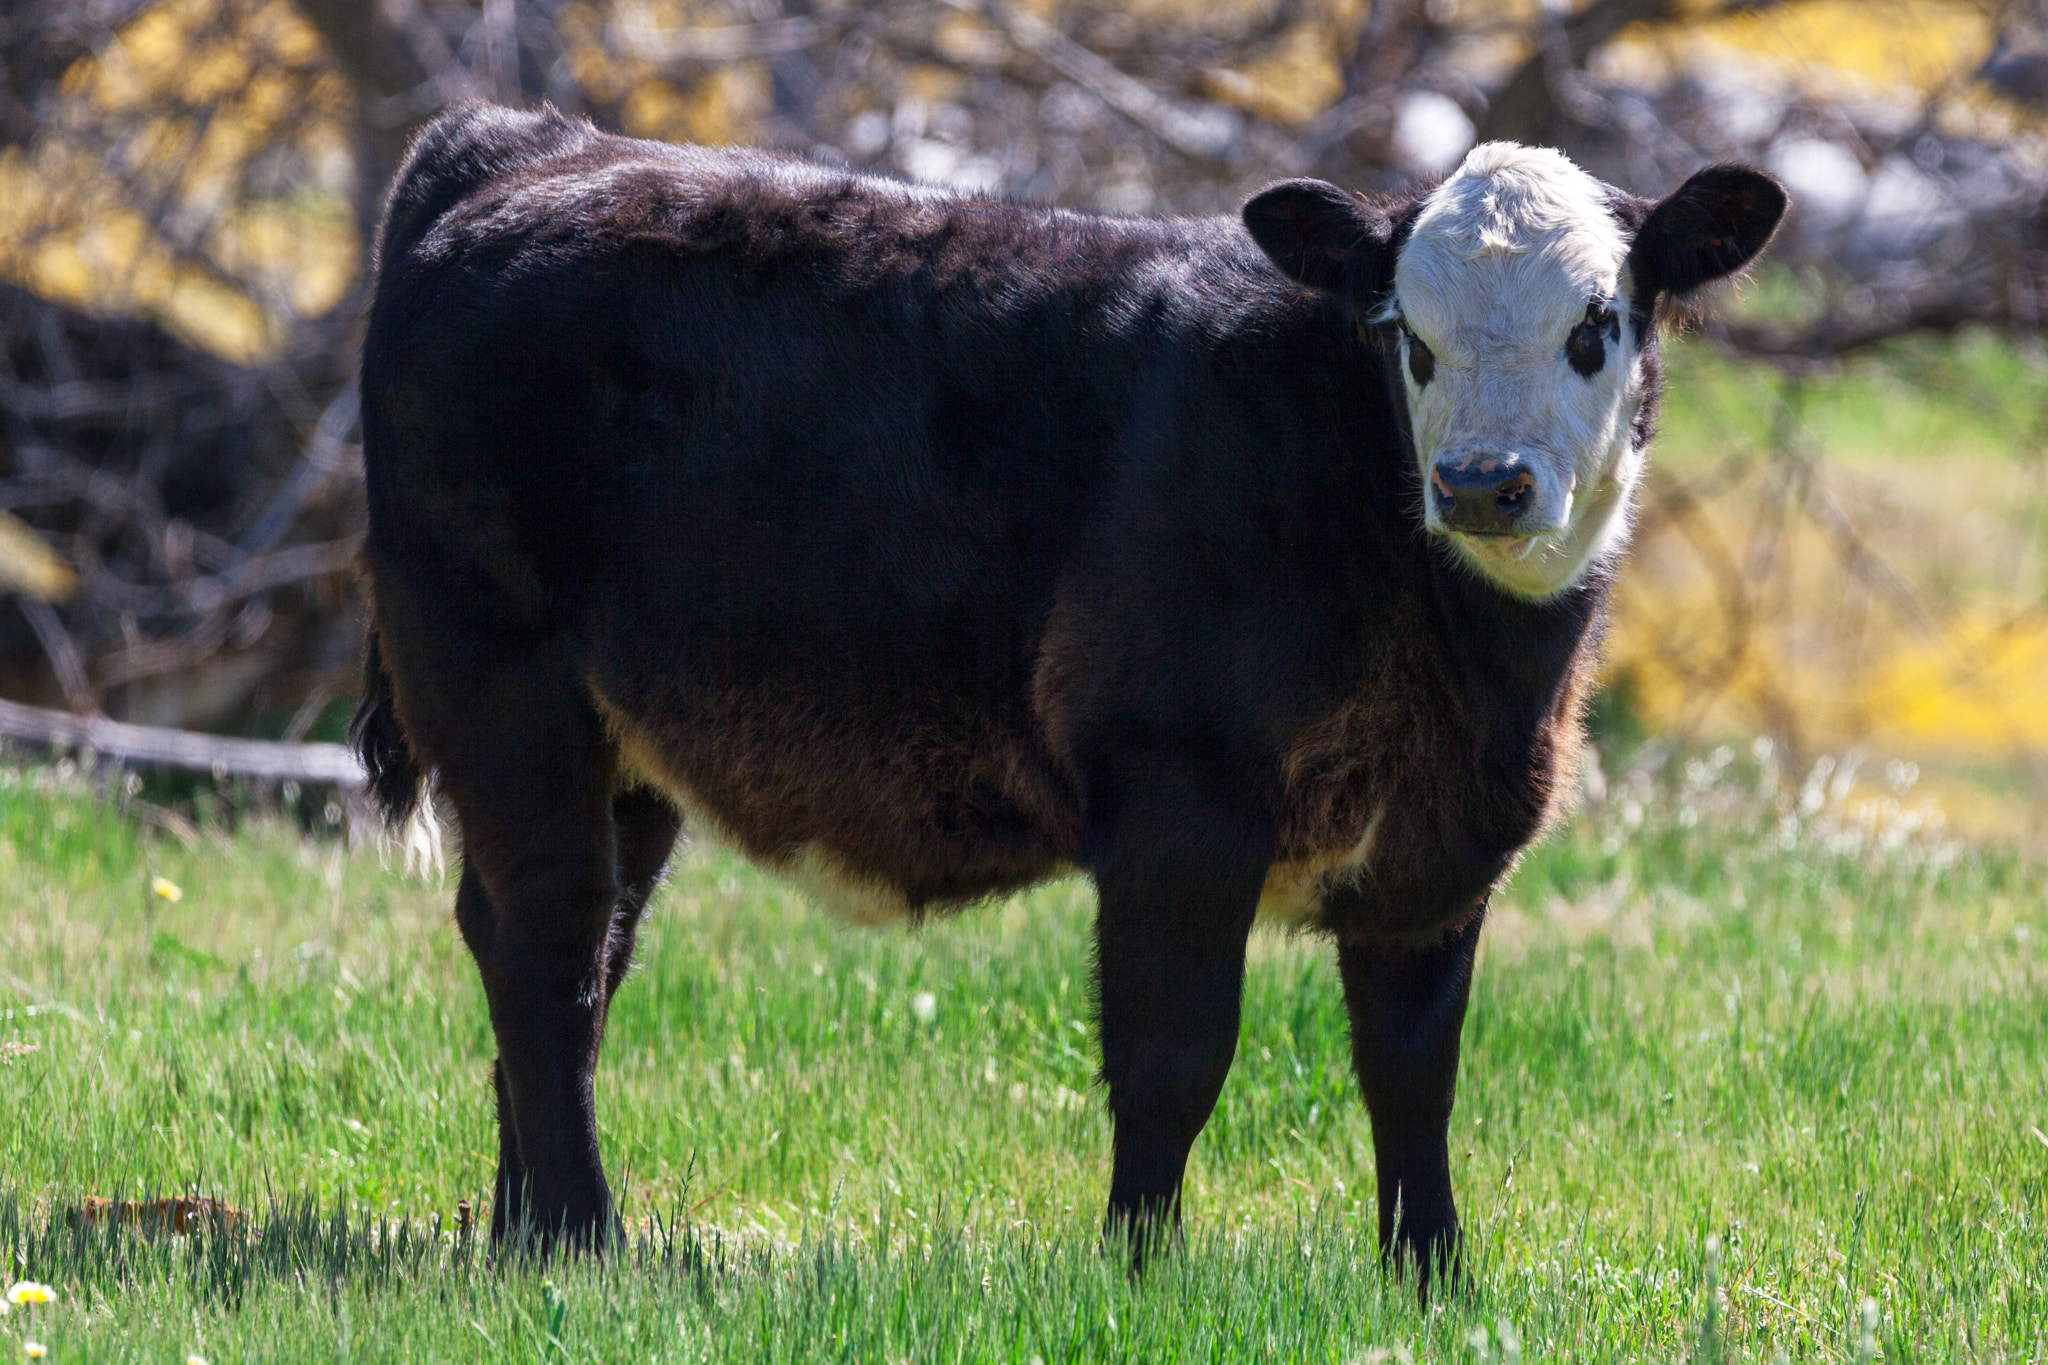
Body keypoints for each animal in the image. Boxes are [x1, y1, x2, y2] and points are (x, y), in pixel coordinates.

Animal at [351, 100, 1784, 1280]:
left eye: (1595, 325)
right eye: (1404, 339)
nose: (1482, 483)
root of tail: (518, 143)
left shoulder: (1441, 847)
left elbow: (1413, 1072)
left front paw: (1428, 1278)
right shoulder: (1177, 803)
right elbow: (1172, 1056)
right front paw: (1137, 1272)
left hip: (627, 740)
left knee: (578, 952)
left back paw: (518, 1233)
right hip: (497, 680)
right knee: (544, 944)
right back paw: (582, 1238)